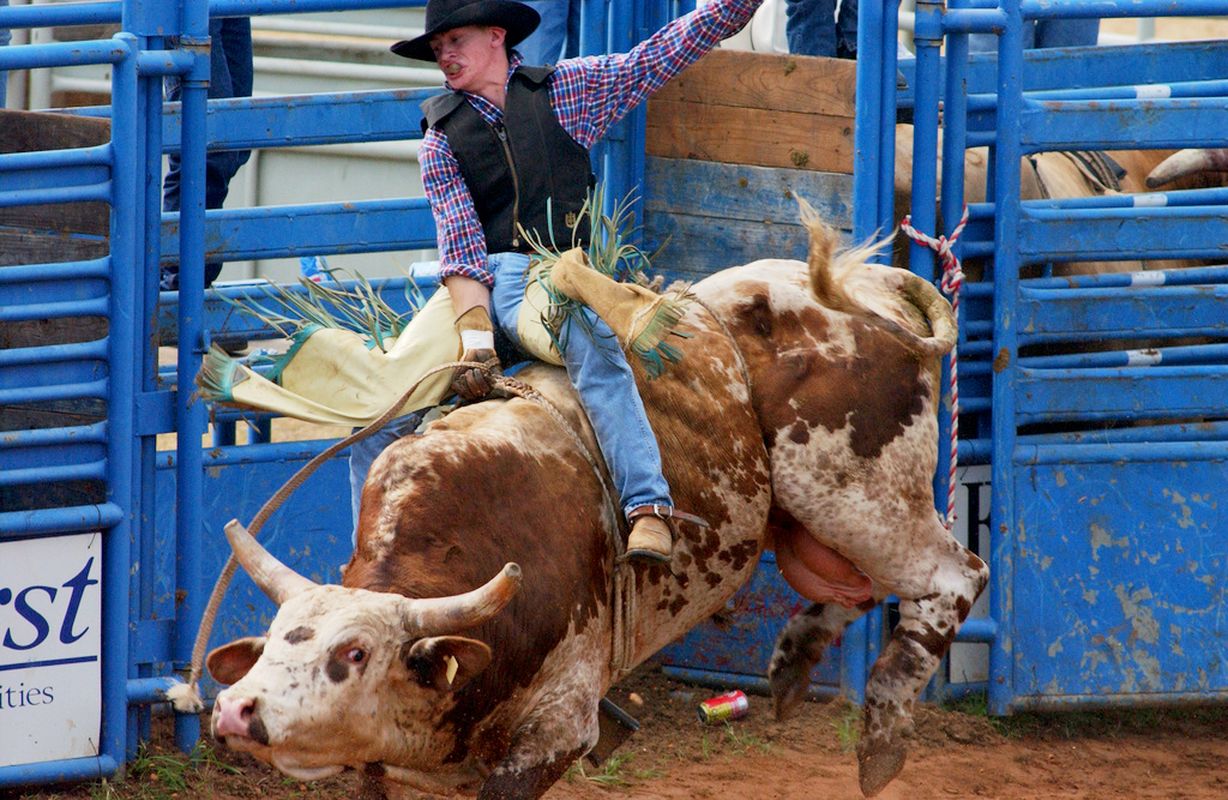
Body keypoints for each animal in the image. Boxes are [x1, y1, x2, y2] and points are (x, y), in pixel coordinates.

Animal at [203, 210, 987, 796]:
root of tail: (870, 284)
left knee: (955, 577)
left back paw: (881, 737)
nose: (238, 708)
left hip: (859, 496)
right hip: (818, 520)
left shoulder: (555, 729)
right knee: (862, 588)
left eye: (355, 652)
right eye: (276, 636)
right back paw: (796, 661)